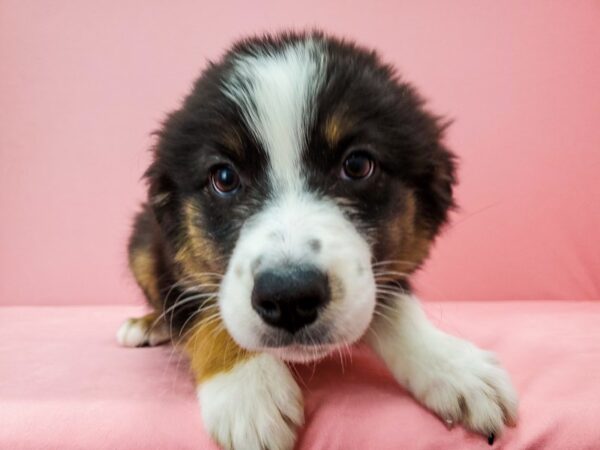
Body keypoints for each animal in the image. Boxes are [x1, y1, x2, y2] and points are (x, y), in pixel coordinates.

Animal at [116, 31, 516, 450]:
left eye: (357, 165)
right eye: (224, 177)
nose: (289, 298)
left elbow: (393, 303)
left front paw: (453, 365)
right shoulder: (165, 254)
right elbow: (204, 309)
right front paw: (248, 390)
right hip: (139, 243)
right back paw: (148, 325)